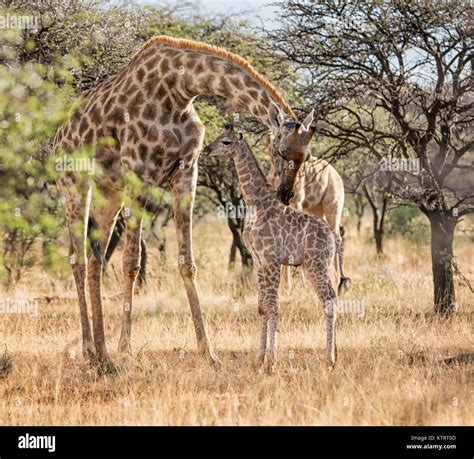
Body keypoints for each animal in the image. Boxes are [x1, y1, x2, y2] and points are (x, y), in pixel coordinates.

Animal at [53, 35, 314, 366]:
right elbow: (131, 262)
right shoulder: (139, 172)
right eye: (281, 152)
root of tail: (58, 136)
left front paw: (209, 352)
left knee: (94, 258)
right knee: (77, 258)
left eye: (306, 156)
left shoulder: (186, 171)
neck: (179, 89)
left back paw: (101, 351)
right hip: (74, 185)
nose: (286, 194)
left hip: (108, 193)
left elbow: (187, 263)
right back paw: (90, 349)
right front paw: (126, 348)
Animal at [202, 126, 350, 374]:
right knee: (331, 297)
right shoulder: (259, 260)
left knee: (329, 298)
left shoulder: (271, 259)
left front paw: (271, 362)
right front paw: (259, 359)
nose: (205, 150)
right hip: (315, 265)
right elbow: (262, 307)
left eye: (226, 142)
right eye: (218, 137)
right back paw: (335, 355)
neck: (257, 205)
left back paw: (329, 360)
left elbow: (273, 306)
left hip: (316, 264)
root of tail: (331, 238)